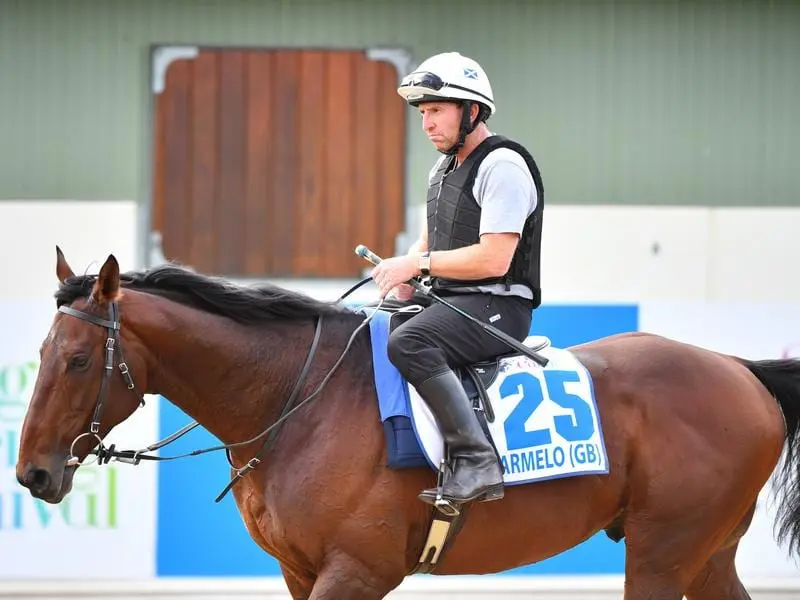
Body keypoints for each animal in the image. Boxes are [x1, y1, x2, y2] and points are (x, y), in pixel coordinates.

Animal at [14, 247, 800, 596]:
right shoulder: (300, 573)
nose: (32, 474)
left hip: (663, 554)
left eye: (78, 360)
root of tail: (736, 369)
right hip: (703, 554)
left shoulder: (354, 573)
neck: (296, 402)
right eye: (44, 354)